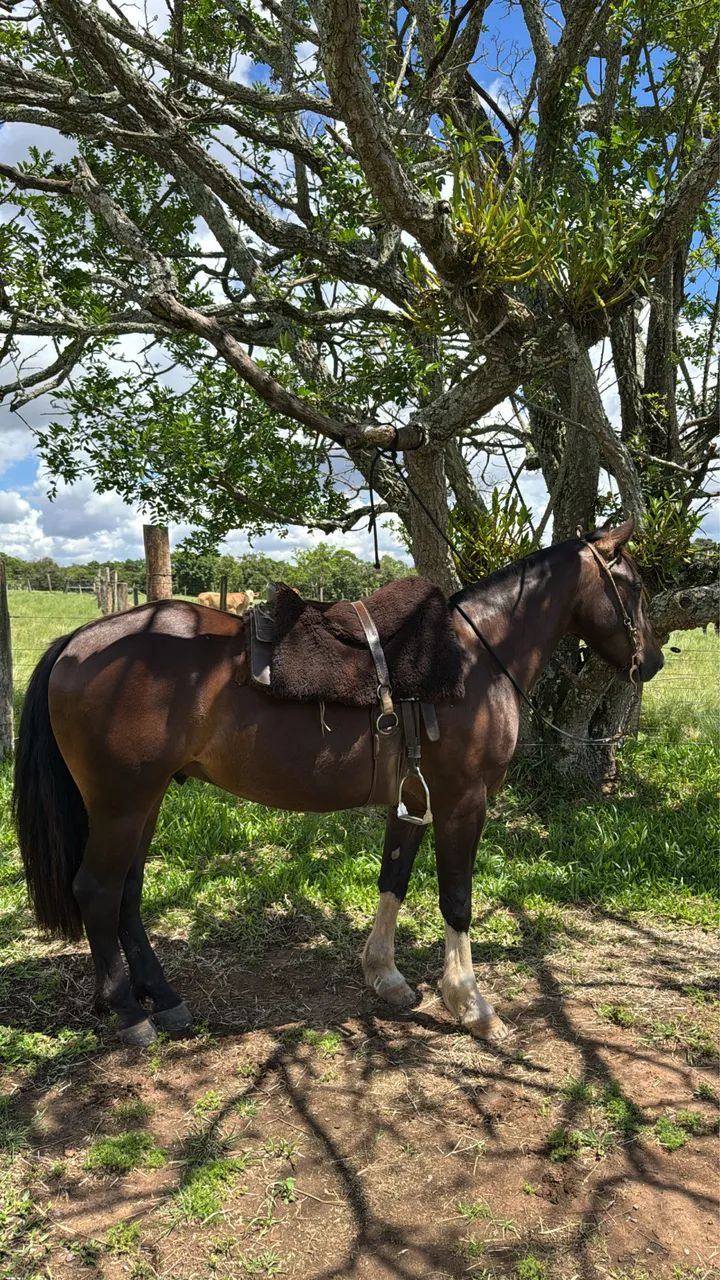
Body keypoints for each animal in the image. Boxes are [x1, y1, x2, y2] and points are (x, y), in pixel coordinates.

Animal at [13, 520, 664, 1047]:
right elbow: (456, 900)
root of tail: (77, 642)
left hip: (145, 801)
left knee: (126, 892)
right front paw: (472, 1007)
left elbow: (393, 880)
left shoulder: (415, 799)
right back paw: (129, 1013)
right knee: (97, 890)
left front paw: (386, 977)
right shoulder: (463, 802)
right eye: (633, 586)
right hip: (121, 803)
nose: (652, 662)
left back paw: (165, 1000)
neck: (478, 657)